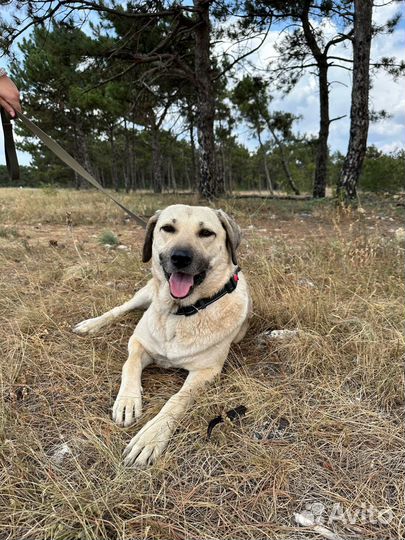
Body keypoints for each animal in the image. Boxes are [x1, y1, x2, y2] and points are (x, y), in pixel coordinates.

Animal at [72, 205, 249, 466]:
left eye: (206, 233)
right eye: (167, 228)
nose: (180, 257)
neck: (179, 313)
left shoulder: (206, 372)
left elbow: (178, 399)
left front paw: (150, 437)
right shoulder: (138, 342)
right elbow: (130, 365)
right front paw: (127, 401)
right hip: (143, 295)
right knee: (120, 308)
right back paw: (92, 324)